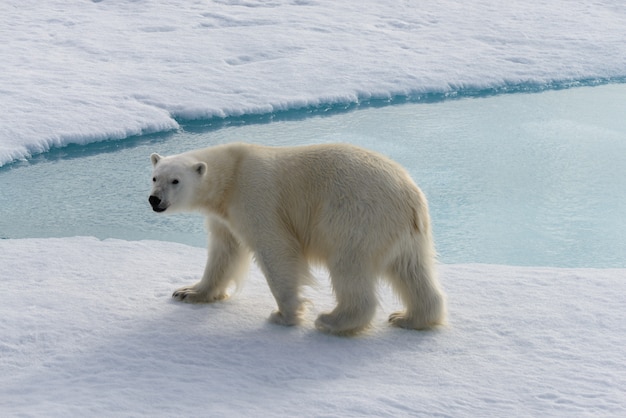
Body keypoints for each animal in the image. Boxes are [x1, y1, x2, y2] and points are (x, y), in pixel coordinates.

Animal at [149, 144, 446, 336]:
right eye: (154, 177)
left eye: (175, 181)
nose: (154, 199)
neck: (232, 172)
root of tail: (410, 195)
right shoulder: (224, 217)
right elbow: (224, 252)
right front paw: (188, 292)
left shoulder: (255, 196)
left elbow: (275, 249)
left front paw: (284, 315)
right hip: (405, 233)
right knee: (411, 270)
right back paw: (409, 318)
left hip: (356, 217)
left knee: (349, 266)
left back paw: (333, 321)